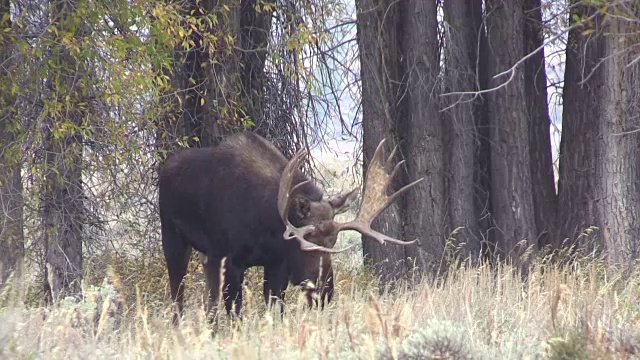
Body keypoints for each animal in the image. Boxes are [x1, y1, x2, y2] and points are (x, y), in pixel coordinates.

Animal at [158, 132, 422, 324]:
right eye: (307, 238)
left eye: (334, 240)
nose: (325, 291)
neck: (265, 229)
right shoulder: (230, 259)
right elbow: (235, 313)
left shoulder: (276, 264)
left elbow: (276, 309)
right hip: (172, 238)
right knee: (178, 294)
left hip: (207, 256)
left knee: (208, 301)